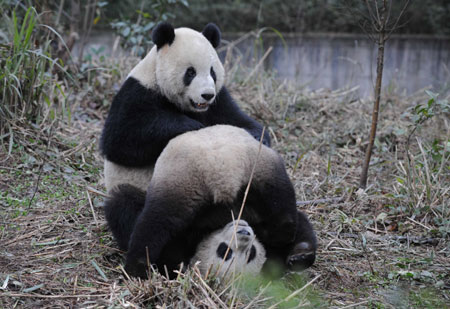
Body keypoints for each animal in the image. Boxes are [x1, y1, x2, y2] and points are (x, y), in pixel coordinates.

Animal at [100, 21, 268, 192]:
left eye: (212, 72)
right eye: (191, 72)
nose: (207, 95)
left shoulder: (219, 99)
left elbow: (235, 118)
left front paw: (257, 137)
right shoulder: (137, 93)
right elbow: (120, 138)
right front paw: (194, 127)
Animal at [105, 124, 316, 278]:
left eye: (250, 253)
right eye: (225, 251)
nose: (243, 232)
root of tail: (222, 173)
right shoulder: (254, 219)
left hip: (183, 179)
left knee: (153, 218)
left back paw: (136, 266)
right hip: (259, 167)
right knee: (281, 200)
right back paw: (291, 240)